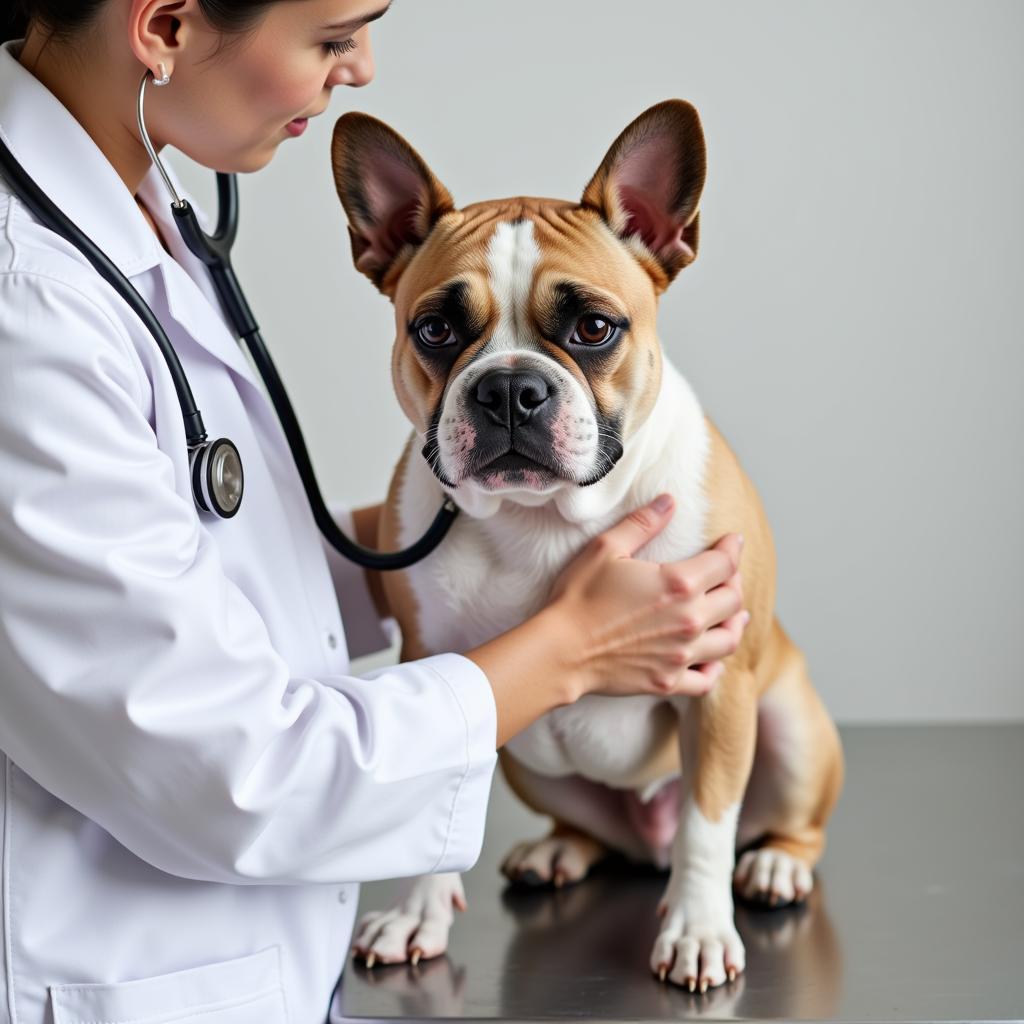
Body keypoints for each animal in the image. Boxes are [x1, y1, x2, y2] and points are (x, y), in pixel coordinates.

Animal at [331, 99, 843, 987]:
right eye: (435, 330)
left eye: (595, 328)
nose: (509, 388)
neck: (541, 518)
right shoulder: (441, 669)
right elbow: (436, 803)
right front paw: (417, 914)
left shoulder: (720, 686)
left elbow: (707, 824)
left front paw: (699, 928)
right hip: (533, 762)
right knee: (596, 833)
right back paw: (558, 852)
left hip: (789, 725)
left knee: (754, 825)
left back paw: (775, 863)